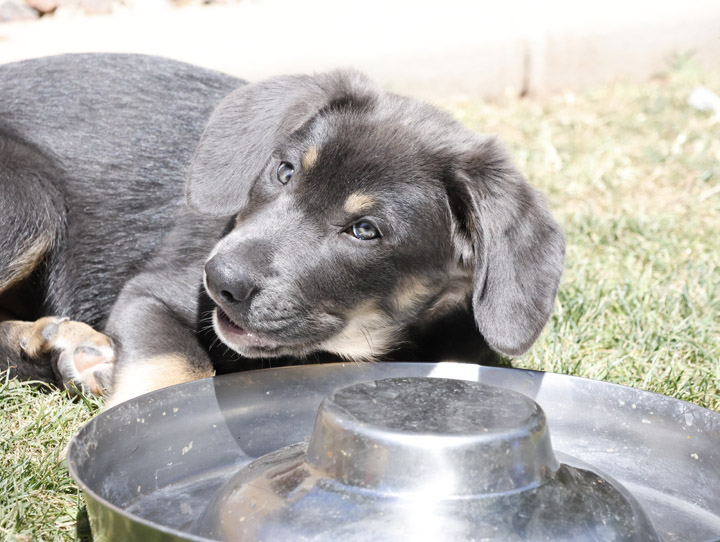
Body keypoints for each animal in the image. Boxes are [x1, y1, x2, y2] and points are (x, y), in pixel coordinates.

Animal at [0, 54, 564, 408]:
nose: (220, 281)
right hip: (33, 199)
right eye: (285, 171)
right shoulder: (150, 293)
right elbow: (177, 370)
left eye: (365, 230)